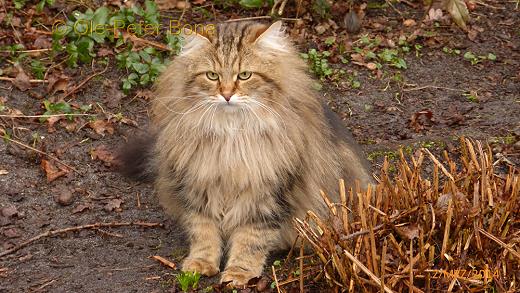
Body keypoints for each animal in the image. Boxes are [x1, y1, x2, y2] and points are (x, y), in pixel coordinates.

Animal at [119, 20, 374, 286]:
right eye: (212, 76)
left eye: (244, 75)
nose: (227, 94)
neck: (231, 137)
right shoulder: (197, 185)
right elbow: (203, 233)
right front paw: (201, 265)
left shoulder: (268, 195)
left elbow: (251, 240)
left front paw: (239, 272)